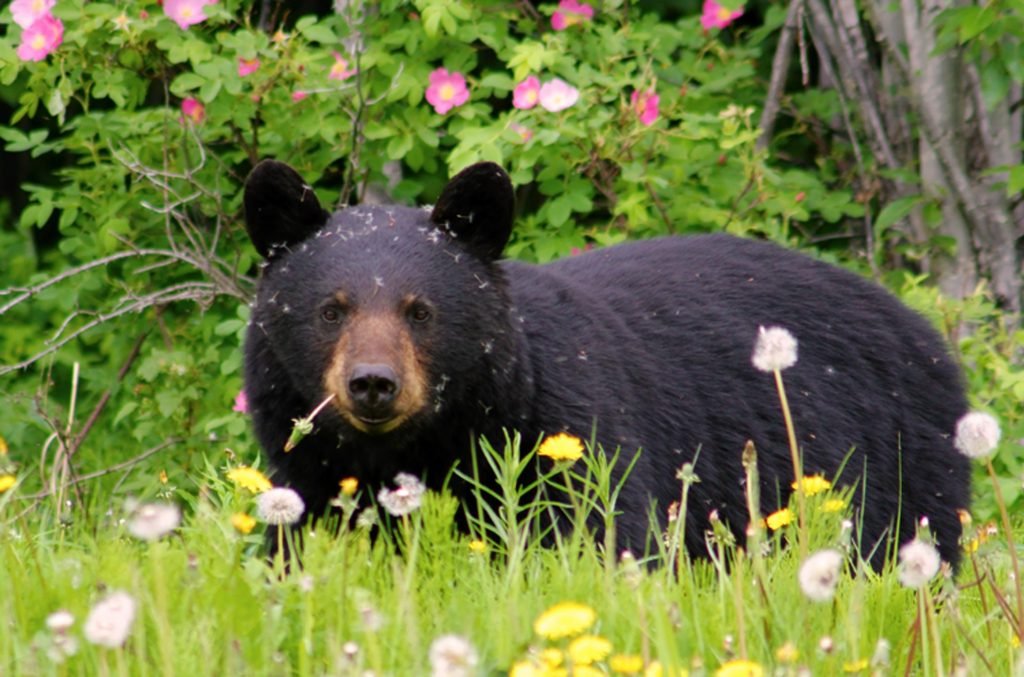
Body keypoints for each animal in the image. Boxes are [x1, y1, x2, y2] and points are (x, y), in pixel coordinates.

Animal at [243, 160, 970, 569]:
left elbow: (600, 538)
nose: (373, 384)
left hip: (895, 468)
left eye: (420, 311)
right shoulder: (309, 482)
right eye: (331, 309)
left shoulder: (569, 442)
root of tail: (922, 329)